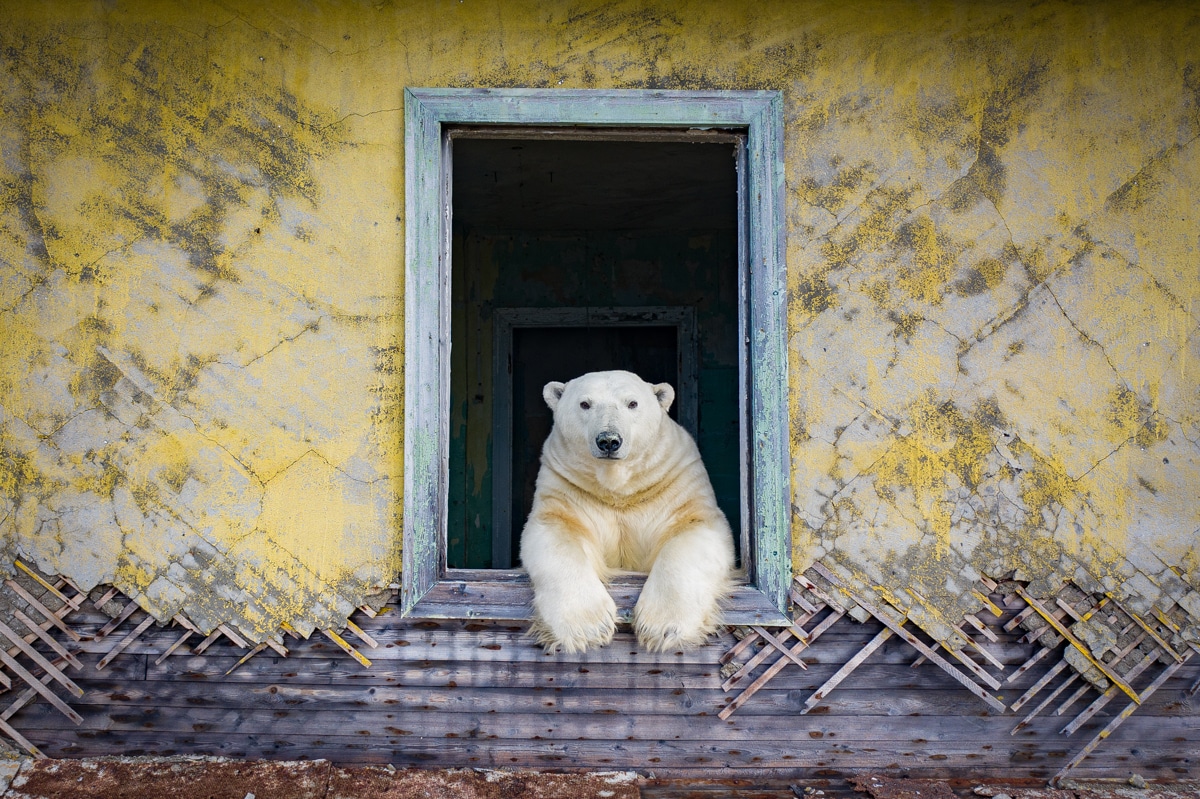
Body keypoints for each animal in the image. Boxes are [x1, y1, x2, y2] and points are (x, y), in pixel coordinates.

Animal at [520, 369, 734, 652]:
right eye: (585, 404)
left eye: (632, 403)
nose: (609, 440)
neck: (619, 489)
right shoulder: (567, 487)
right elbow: (556, 532)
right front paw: (588, 628)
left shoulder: (675, 482)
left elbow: (694, 530)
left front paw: (663, 628)